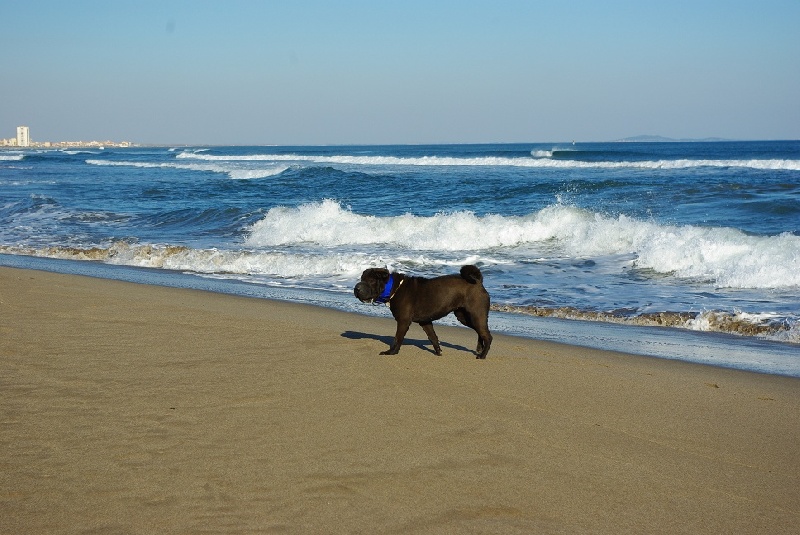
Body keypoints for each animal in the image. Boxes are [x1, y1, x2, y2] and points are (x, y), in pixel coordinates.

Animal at [354, 264, 490, 358]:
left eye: (371, 281)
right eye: (361, 278)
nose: (356, 288)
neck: (393, 288)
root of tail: (478, 282)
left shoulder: (403, 321)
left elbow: (397, 338)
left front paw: (392, 352)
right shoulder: (425, 321)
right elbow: (433, 337)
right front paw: (438, 352)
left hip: (475, 315)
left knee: (487, 336)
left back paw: (482, 355)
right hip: (464, 317)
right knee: (481, 332)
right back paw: (479, 349)